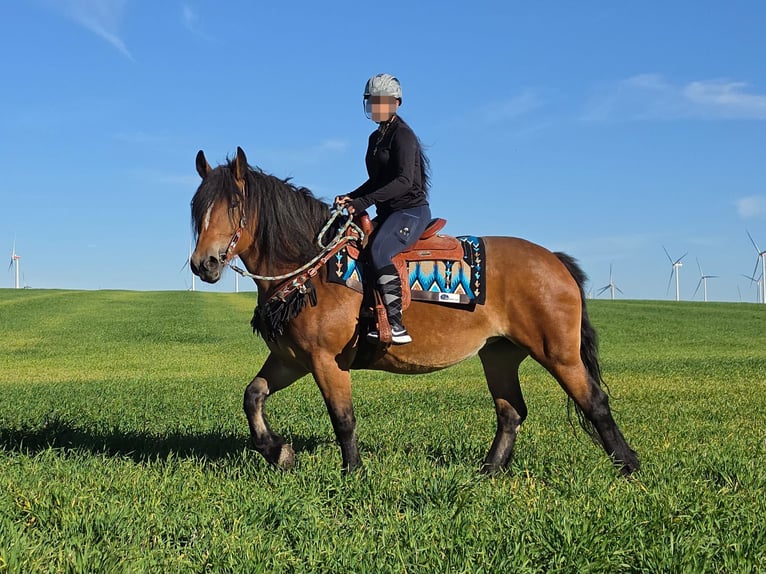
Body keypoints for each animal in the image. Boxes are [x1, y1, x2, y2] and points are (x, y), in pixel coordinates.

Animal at [189, 147, 639, 476]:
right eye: (197, 208)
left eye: (234, 206)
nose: (203, 264)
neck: (314, 270)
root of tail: (555, 261)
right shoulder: (292, 359)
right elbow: (252, 396)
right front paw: (278, 451)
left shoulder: (326, 361)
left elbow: (343, 418)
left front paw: (353, 473)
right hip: (499, 353)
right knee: (511, 411)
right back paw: (489, 470)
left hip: (558, 353)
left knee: (594, 402)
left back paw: (628, 465)